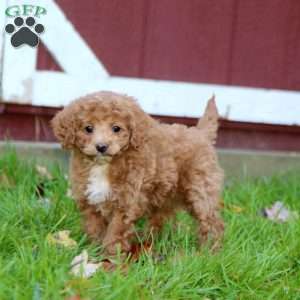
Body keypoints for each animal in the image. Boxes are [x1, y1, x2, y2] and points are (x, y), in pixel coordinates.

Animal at [51, 91, 224, 253]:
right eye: (88, 128)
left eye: (116, 128)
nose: (101, 146)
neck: (103, 165)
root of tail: (200, 133)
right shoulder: (89, 202)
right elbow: (95, 228)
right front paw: (95, 250)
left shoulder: (126, 203)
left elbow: (115, 233)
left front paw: (112, 257)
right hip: (164, 195)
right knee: (161, 218)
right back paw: (152, 241)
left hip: (201, 189)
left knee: (212, 222)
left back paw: (210, 251)